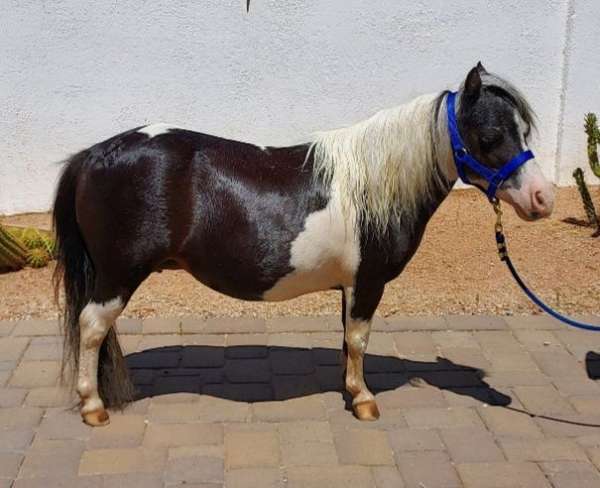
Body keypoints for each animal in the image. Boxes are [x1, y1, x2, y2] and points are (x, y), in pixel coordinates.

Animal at [54, 63, 556, 426]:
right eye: (490, 136)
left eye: (524, 132)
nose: (542, 198)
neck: (373, 187)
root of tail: (94, 155)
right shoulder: (368, 283)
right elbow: (359, 338)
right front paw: (364, 399)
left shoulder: (350, 286)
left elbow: (347, 340)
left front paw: (348, 389)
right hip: (118, 274)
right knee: (92, 327)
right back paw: (93, 407)